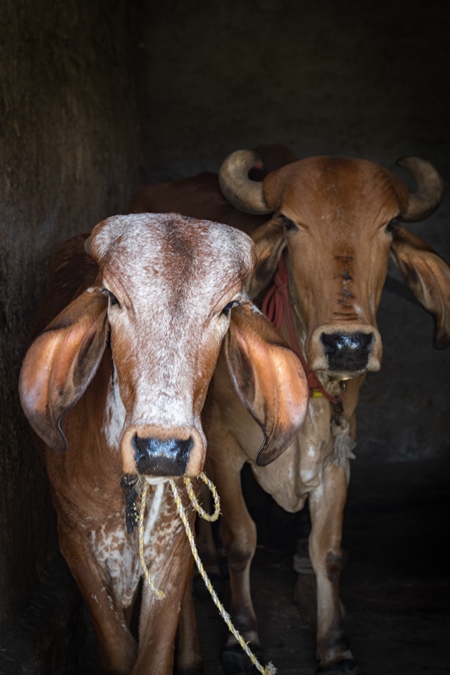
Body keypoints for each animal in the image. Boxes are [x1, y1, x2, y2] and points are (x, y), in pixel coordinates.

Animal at [130, 148, 450, 675]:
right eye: (292, 224)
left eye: (388, 226)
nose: (348, 344)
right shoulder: (222, 446)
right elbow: (242, 540)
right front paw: (243, 639)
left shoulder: (339, 450)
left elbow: (329, 551)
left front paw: (334, 644)